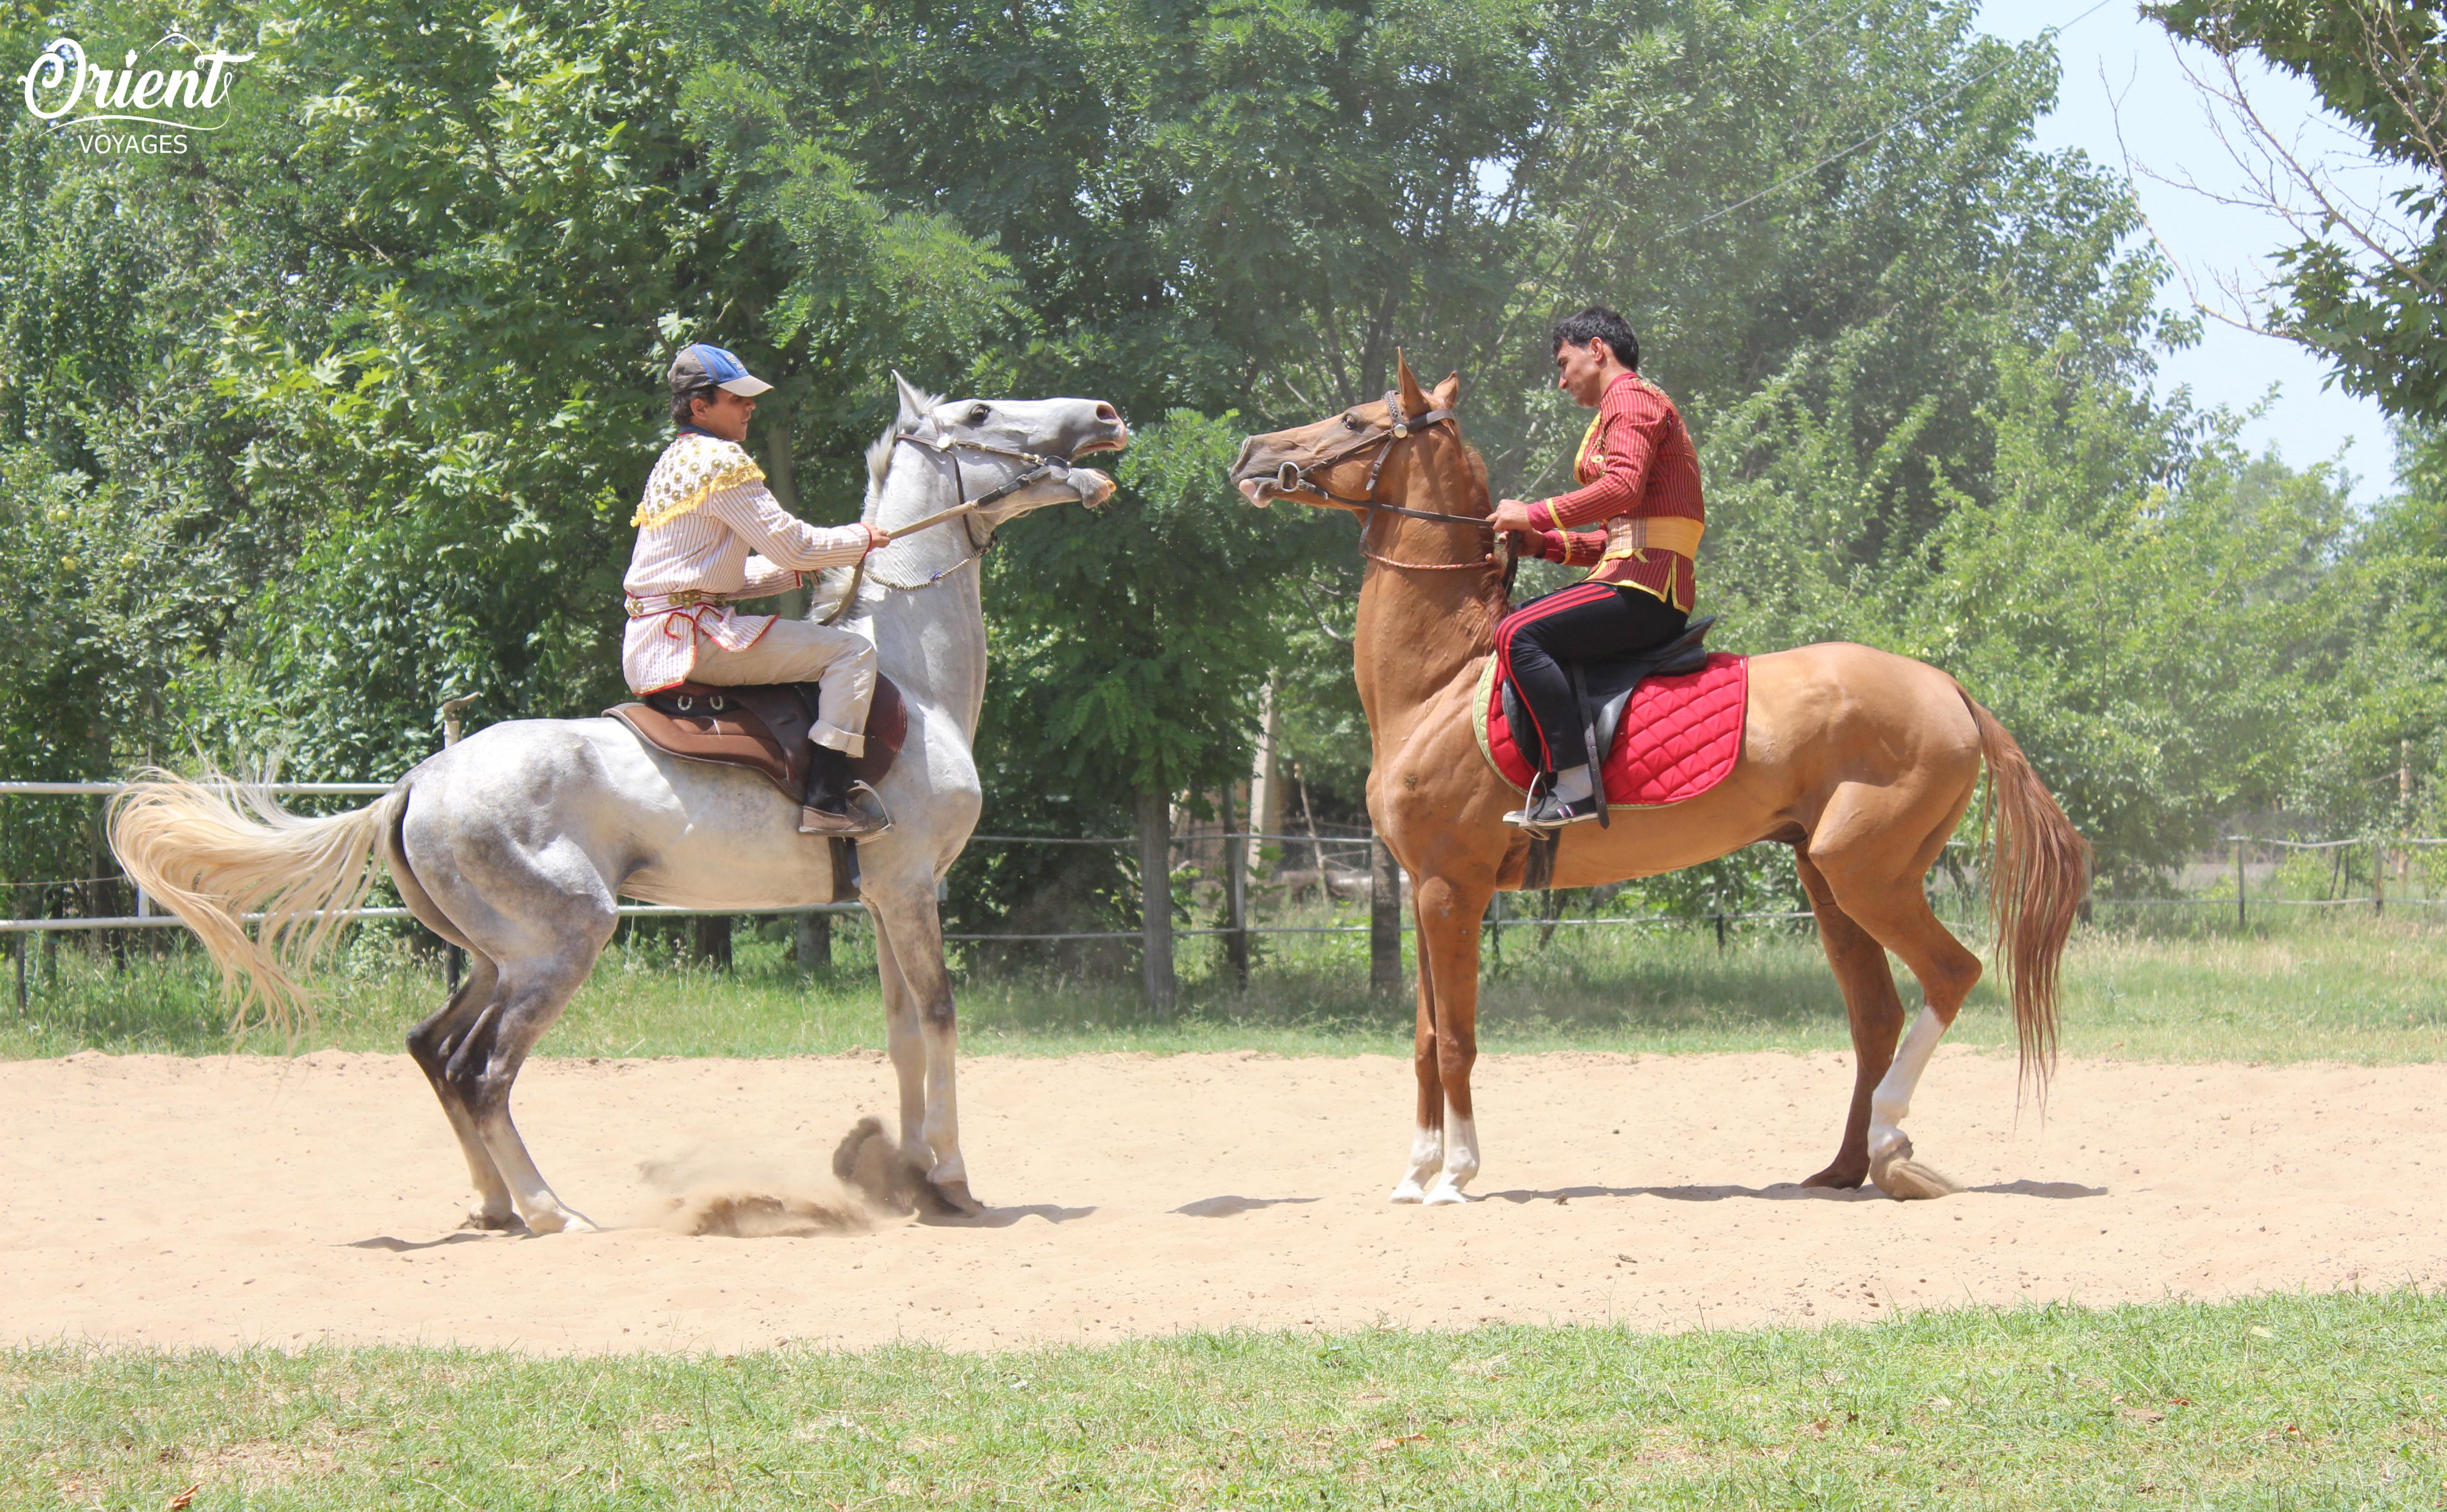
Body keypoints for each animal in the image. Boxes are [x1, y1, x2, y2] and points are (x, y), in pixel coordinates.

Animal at [105, 377, 1121, 1223]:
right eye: (980, 411)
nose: (1105, 416)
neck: (908, 677)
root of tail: (419, 780)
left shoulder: (881, 899)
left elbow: (905, 1031)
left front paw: (904, 1175)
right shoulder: (910, 887)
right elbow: (941, 1017)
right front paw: (947, 1181)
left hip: (500, 955)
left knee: (434, 1049)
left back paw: (495, 1203)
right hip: (563, 943)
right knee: (483, 1072)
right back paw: (549, 1209)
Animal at [1233, 362, 2094, 1199]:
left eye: (1353, 420)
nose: (1249, 452)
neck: (1441, 682)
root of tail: (1948, 689)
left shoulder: (1454, 888)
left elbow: (1455, 1041)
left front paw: (1454, 1174)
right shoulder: (1423, 889)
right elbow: (1422, 1039)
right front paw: (1414, 1173)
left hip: (1867, 876)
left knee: (1951, 975)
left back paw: (1889, 1143)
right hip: (1830, 880)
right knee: (1875, 1016)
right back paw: (1846, 1167)